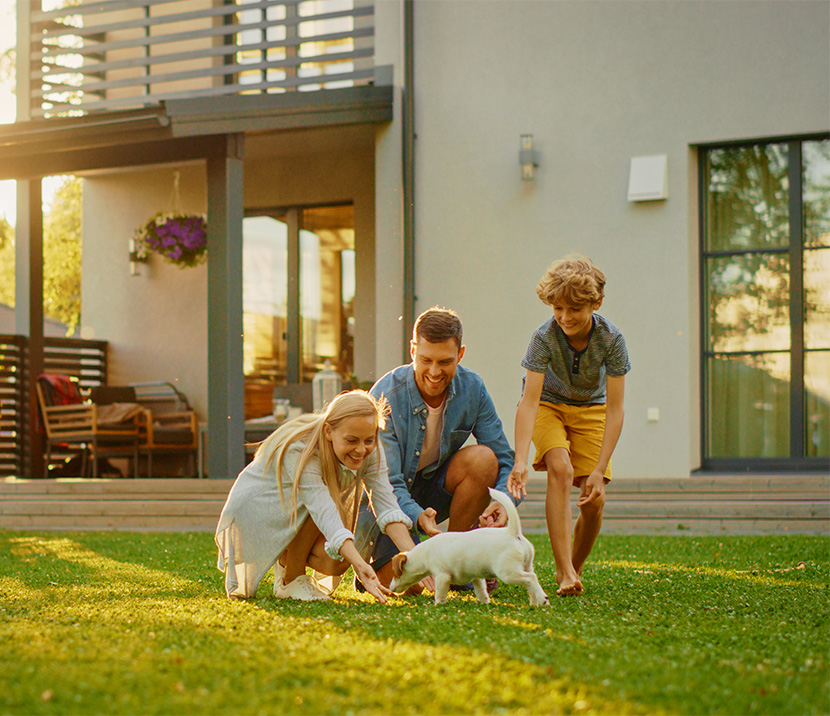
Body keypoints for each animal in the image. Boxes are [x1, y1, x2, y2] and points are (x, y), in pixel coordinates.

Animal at [392, 486, 548, 604]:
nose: (389, 588)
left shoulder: (442, 576)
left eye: (395, 573)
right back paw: (534, 603)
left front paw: (438, 604)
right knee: (531, 583)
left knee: (530, 579)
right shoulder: (477, 577)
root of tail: (513, 532)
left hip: (507, 572)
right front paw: (485, 603)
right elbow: (481, 591)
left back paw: (543, 599)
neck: (424, 553)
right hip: (526, 566)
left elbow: (440, 594)